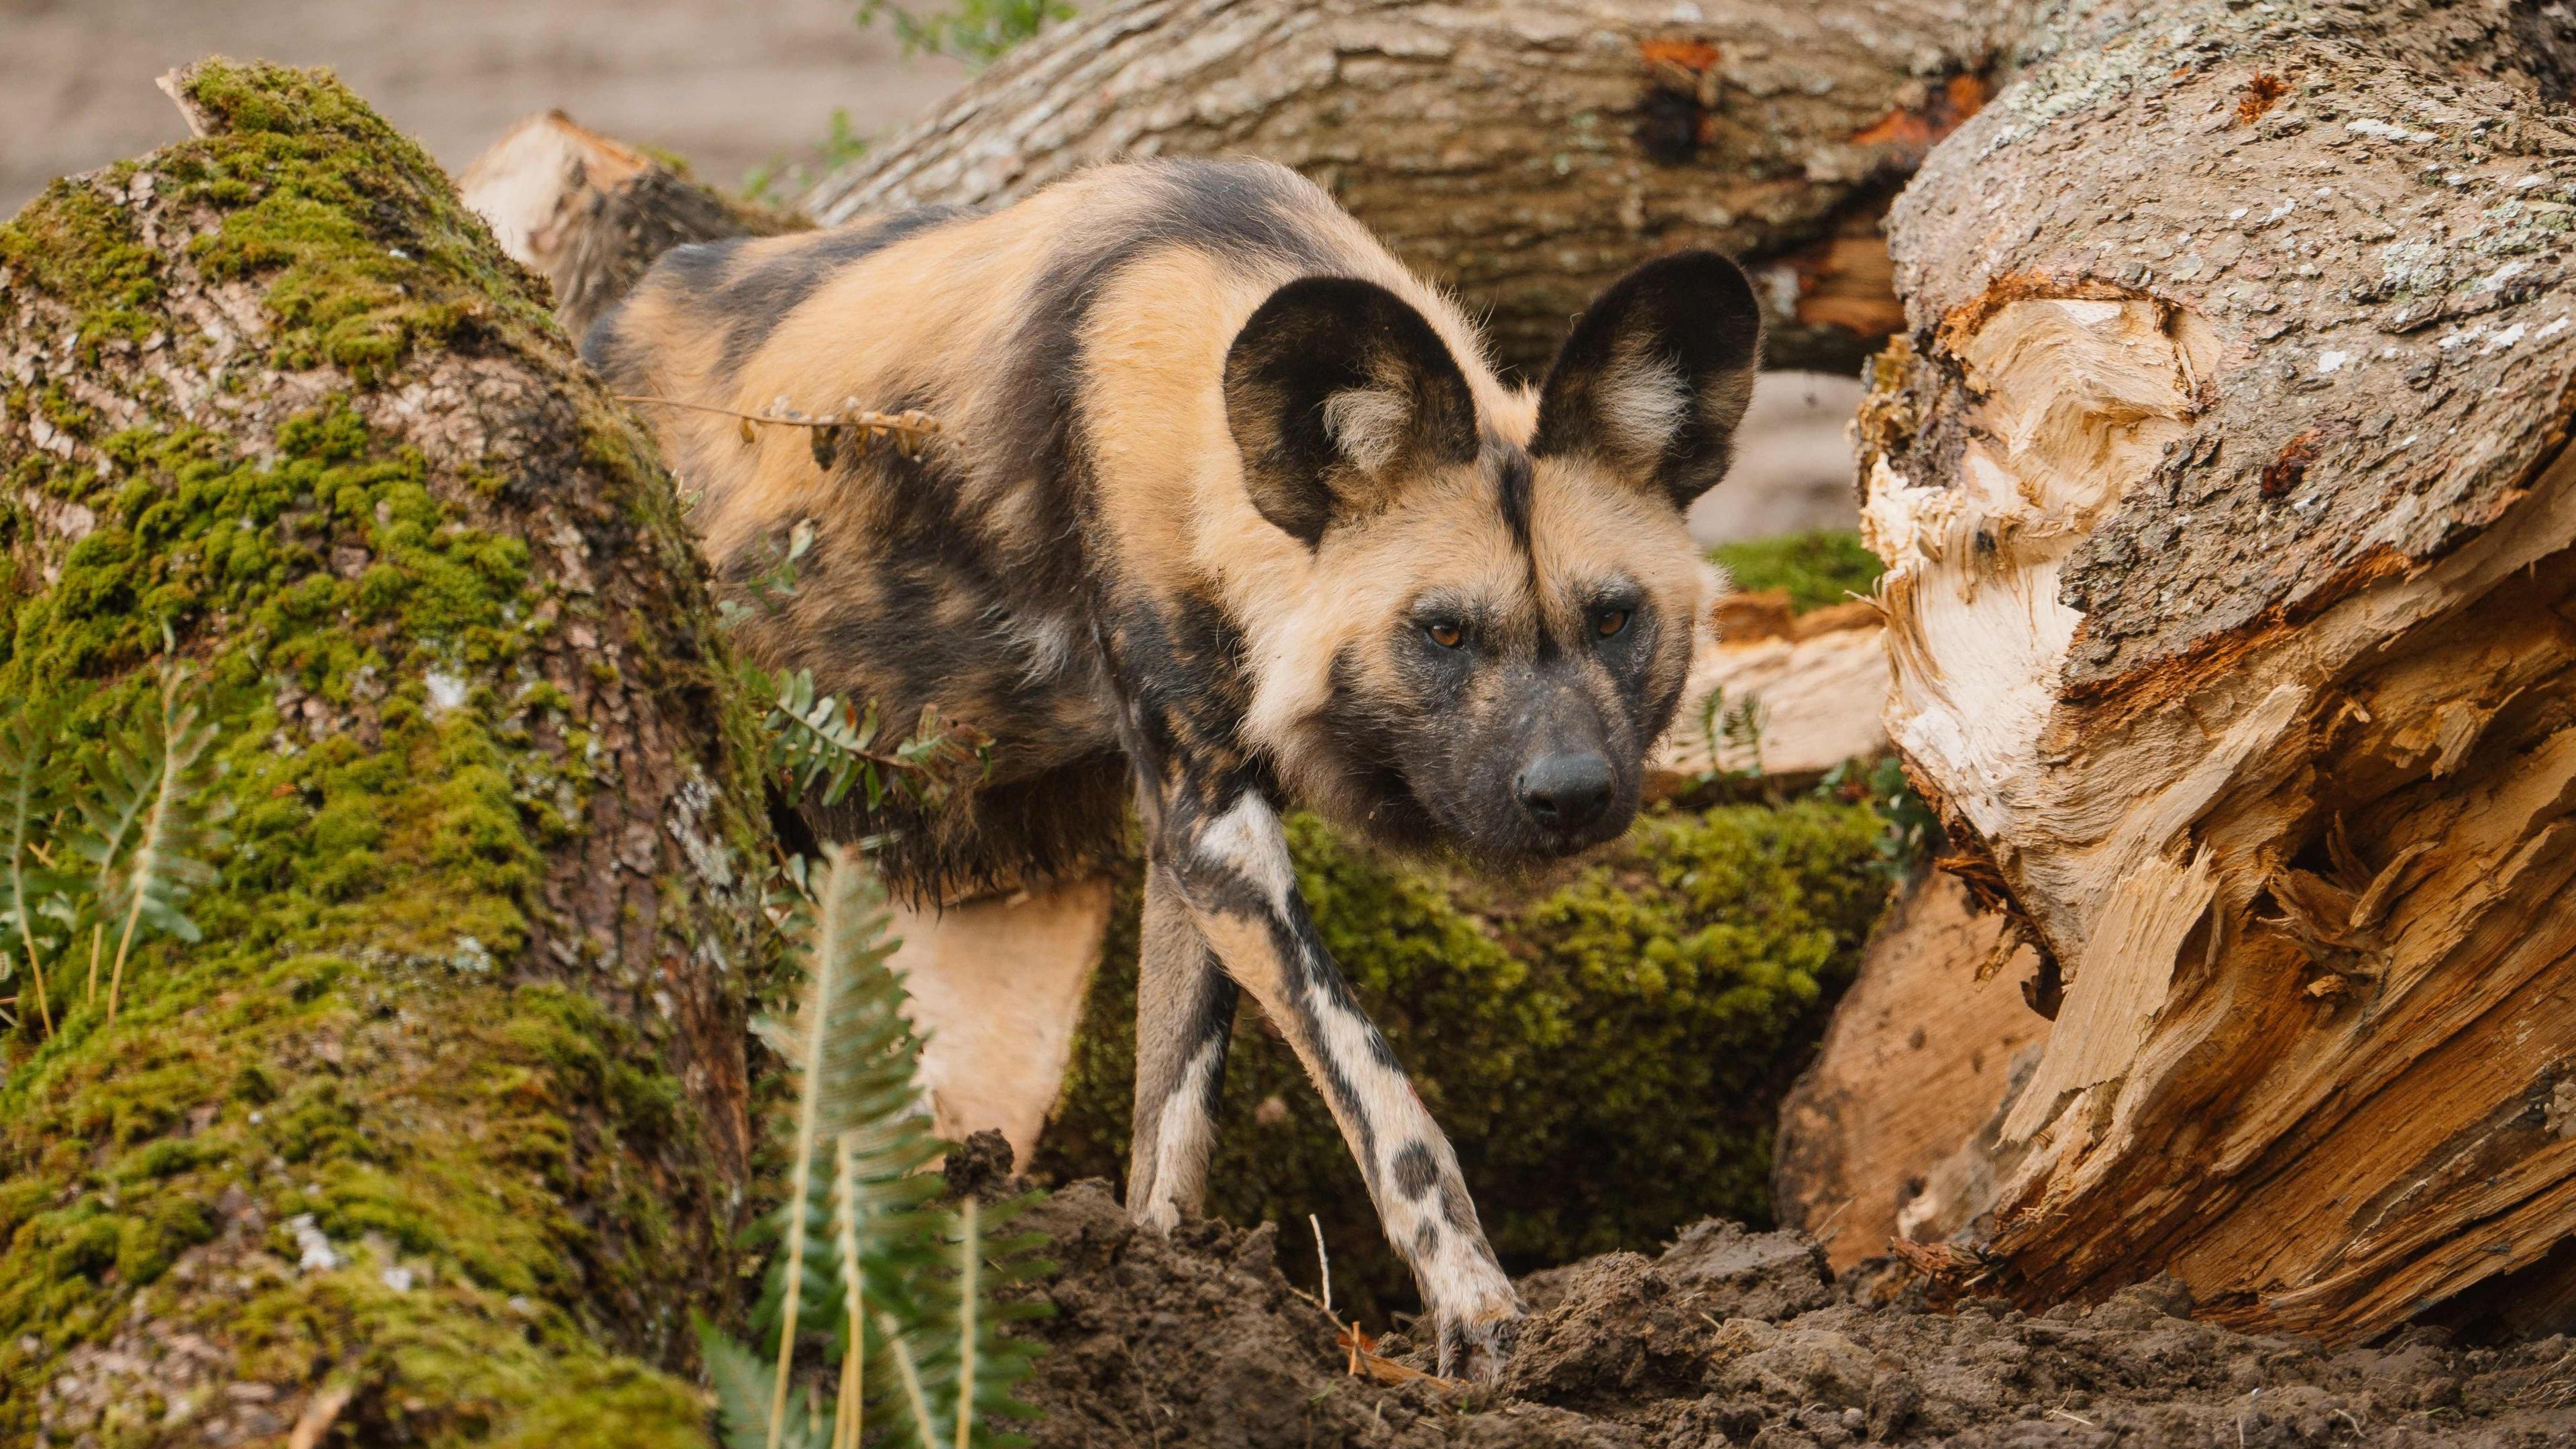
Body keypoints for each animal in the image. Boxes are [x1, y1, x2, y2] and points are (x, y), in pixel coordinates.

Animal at [587, 160, 1762, 1371]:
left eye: (1615, 618)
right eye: (1442, 633)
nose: (1570, 794)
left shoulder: (1191, 841)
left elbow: (1172, 1112)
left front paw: (1166, 1292)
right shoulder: (1217, 833)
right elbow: (1379, 1092)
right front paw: (1476, 1308)